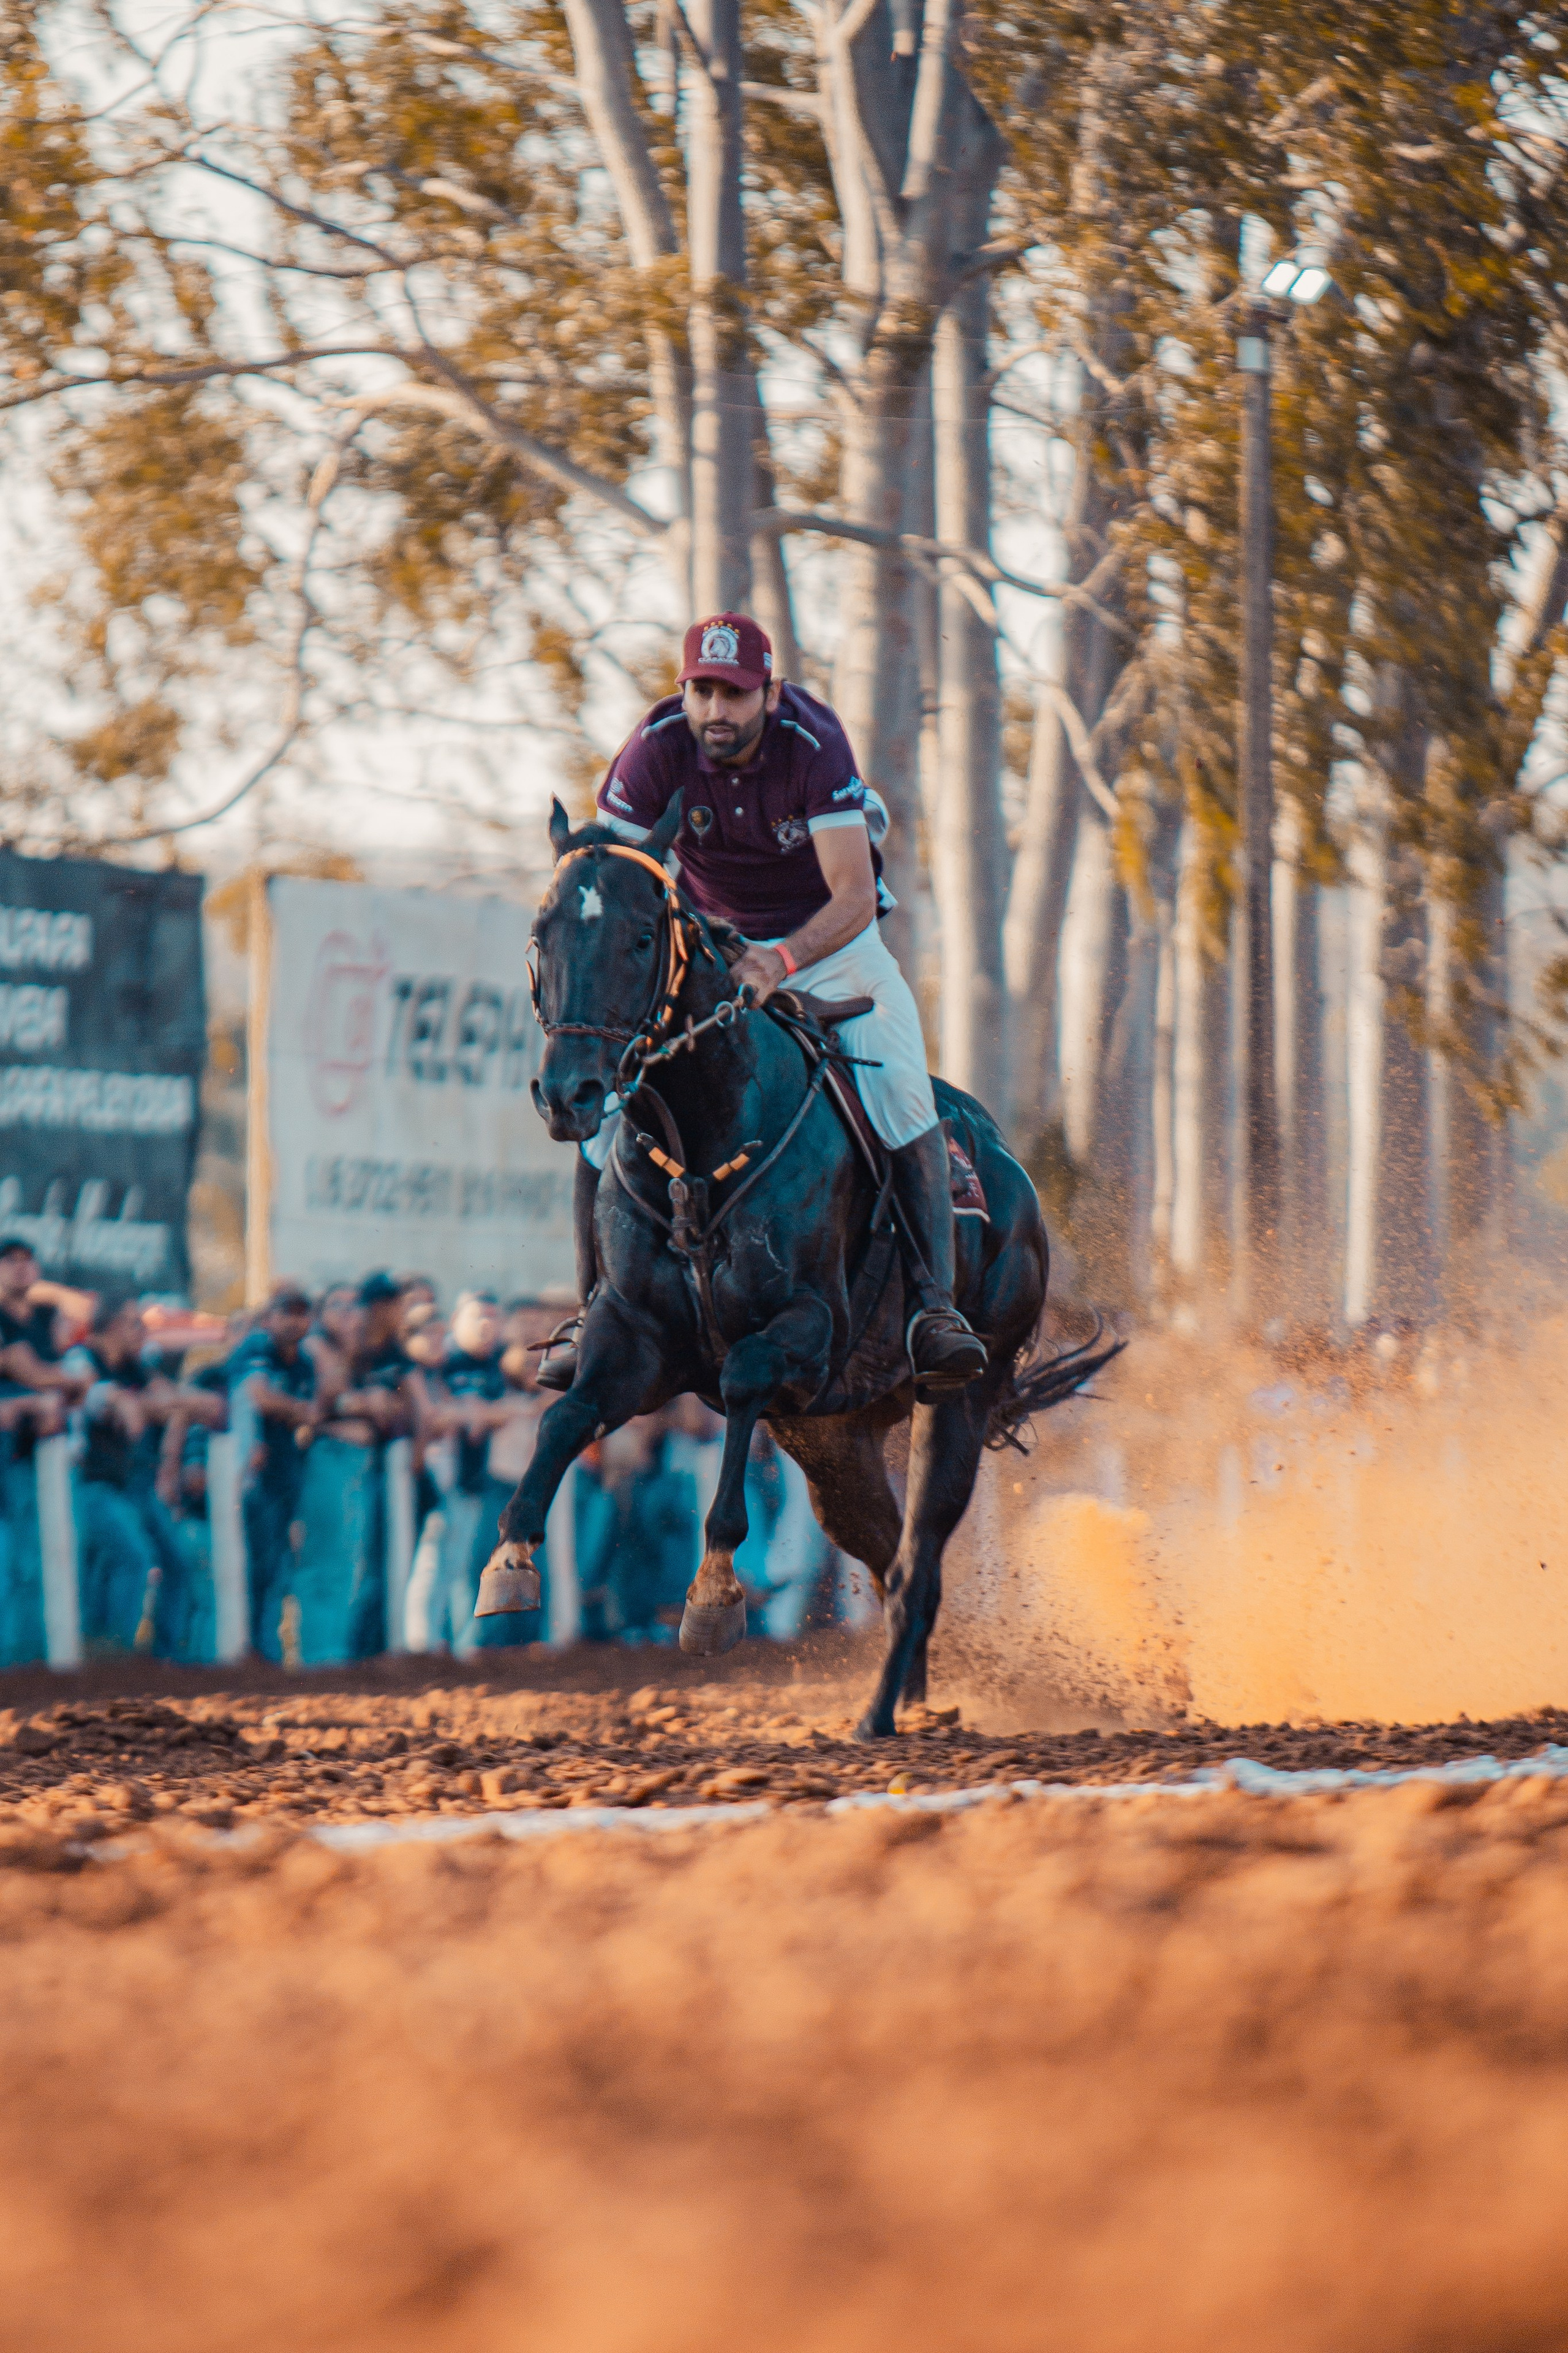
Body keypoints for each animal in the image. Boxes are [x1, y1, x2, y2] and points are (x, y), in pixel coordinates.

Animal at [477, 796, 1119, 1739]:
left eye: (641, 936)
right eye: (541, 932)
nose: (571, 1095)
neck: (699, 1148)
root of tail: (1013, 1177)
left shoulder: (806, 1332)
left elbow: (742, 1377)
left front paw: (712, 1597)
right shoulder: (636, 1339)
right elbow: (564, 1418)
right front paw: (511, 1559)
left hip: (955, 1401)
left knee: (918, 1562)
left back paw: (880, 1715)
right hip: (835, 1440)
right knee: (889, 1557)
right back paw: (916, 1695)